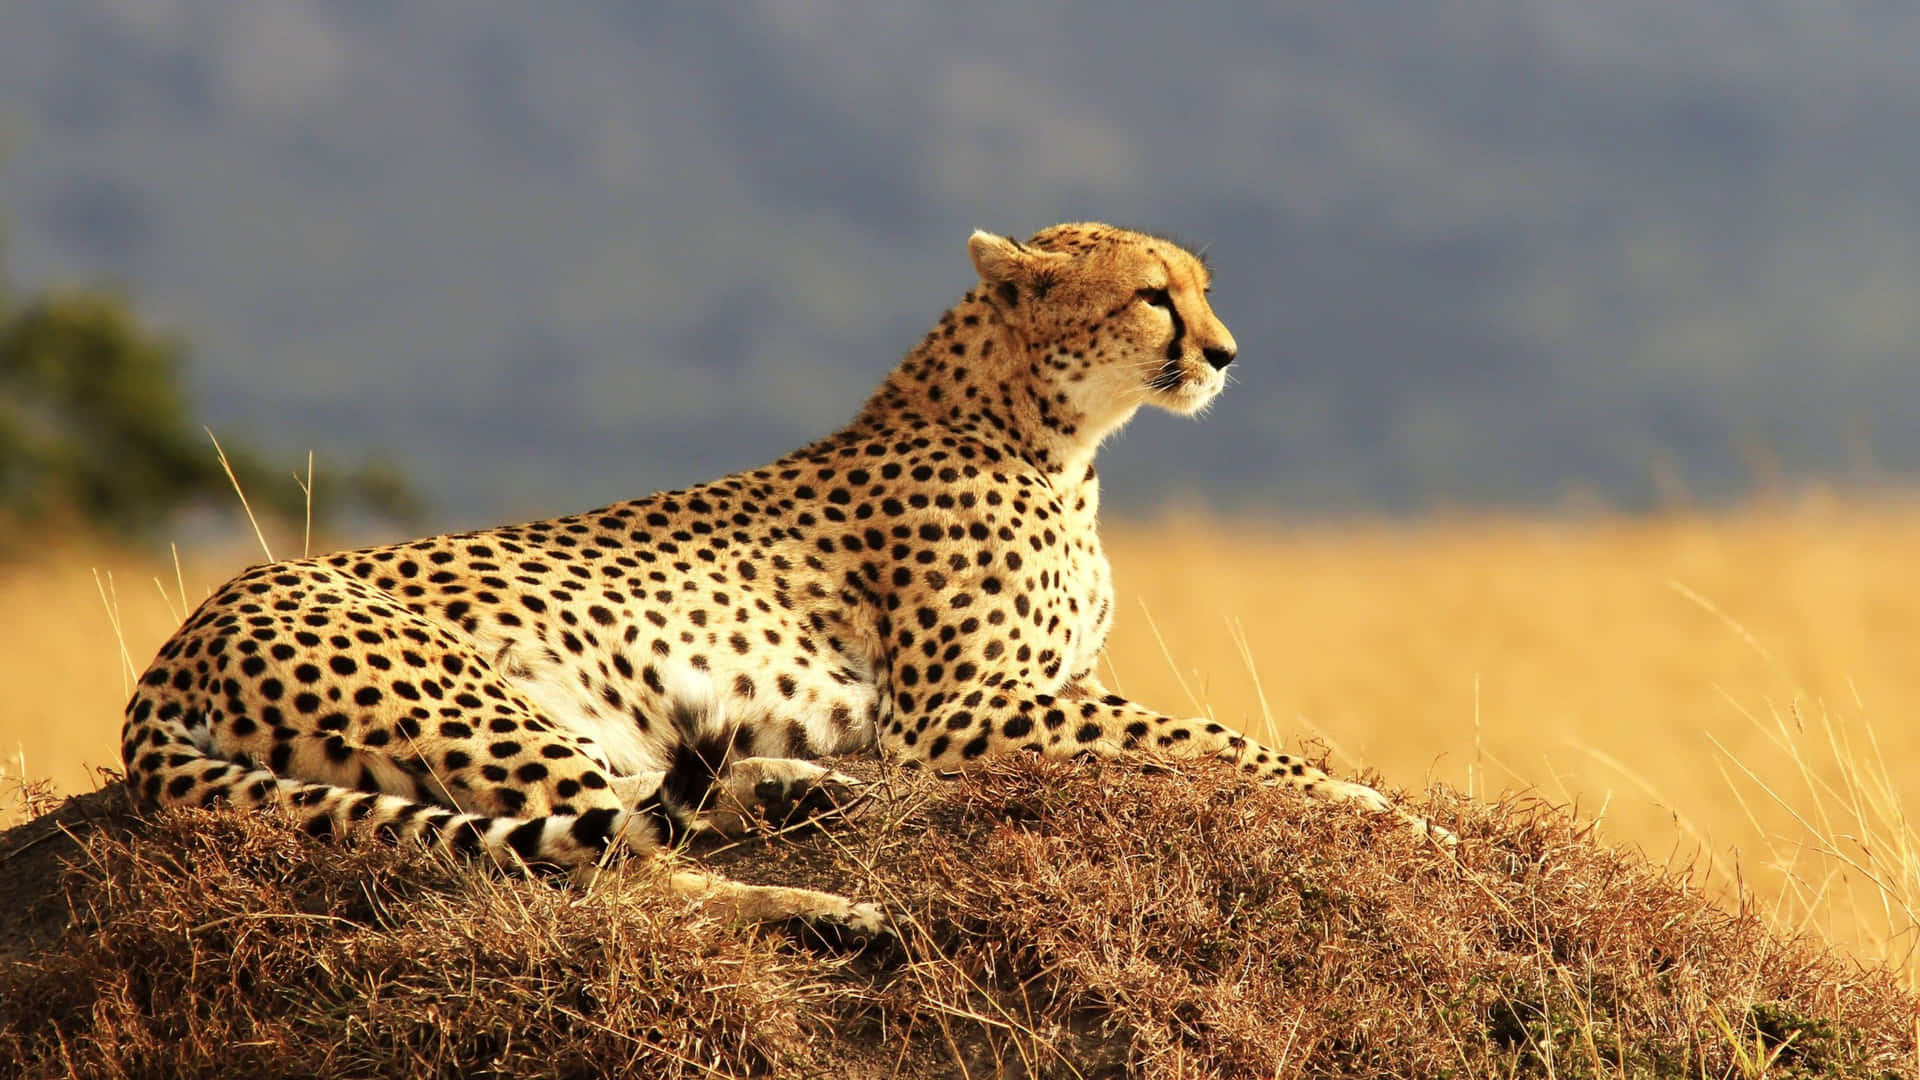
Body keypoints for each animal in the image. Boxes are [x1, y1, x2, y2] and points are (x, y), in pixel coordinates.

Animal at [123, 220, 1443, 933]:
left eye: (1204, 289)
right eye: (1154, 296)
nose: (1226, 354)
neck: (1050, 436)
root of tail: (176, 644)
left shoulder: (1028, 694)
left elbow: (1199, 735)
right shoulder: (961, 713)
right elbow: (1217, 739)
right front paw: (1391, 813)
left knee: (646, 810)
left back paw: (809, 797)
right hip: (478, 706)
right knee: (617, 872)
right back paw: (827, 907)